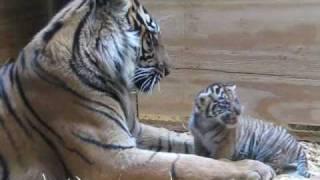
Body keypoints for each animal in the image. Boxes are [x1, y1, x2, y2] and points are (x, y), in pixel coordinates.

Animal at [0, 0, 276, 179]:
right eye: (151, 39)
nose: (168, 70)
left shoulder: (135, 130)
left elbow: (177, 139)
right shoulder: (113, 158)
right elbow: (188, 163)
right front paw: (252, 168)